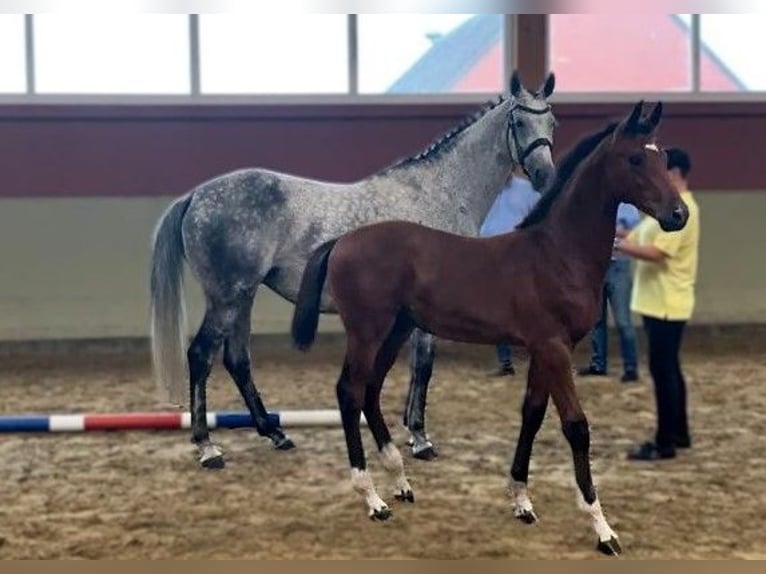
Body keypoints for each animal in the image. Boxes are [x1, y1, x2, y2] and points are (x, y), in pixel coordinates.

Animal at [150, 72, 560, 470]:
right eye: (518, 121)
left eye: (551, 121)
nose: (545, 176)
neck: (438, 192)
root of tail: (197, 196)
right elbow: (424, 366)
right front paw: (420, 439)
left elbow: (416, 367)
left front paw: (411, 433)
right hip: (228, 297)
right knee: (200, 356)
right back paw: (207, 447)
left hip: (242, 297)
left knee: (237, 360)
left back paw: (276, 433)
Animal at [292, 102, 688, 560]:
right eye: (636, 159)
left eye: (663, 156)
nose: (679, 215)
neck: (556, 253)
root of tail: (341, 241)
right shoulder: (554, 347)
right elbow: (576, 426)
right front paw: (602, 529)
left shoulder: (544, 348)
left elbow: (532, 414)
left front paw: (522, 502)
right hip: (367, 331)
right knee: (350, 391)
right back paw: (373, 500)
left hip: (395, 331)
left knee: (370, 391)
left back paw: (401, 482)